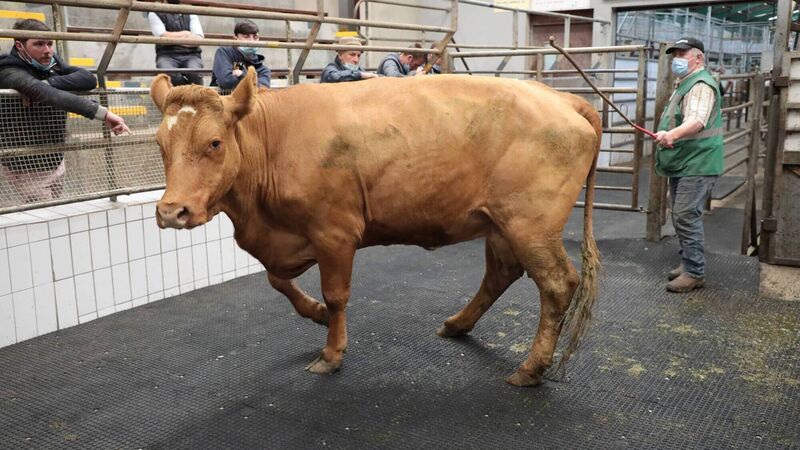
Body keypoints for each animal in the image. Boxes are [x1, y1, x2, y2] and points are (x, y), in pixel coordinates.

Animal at [149, 67, 601, 387]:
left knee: (557, 284)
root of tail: (560, 97)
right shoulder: (287, 239)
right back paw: (457, 325)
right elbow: (278, 281)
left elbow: (335, 295)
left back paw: (531, 368)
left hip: (530, 224)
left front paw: (331, 353)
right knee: (500, 274)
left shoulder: (335, 232)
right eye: (159, 144)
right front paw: (314, 314)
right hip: (499, 223)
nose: (172, 212)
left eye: (214, 143)